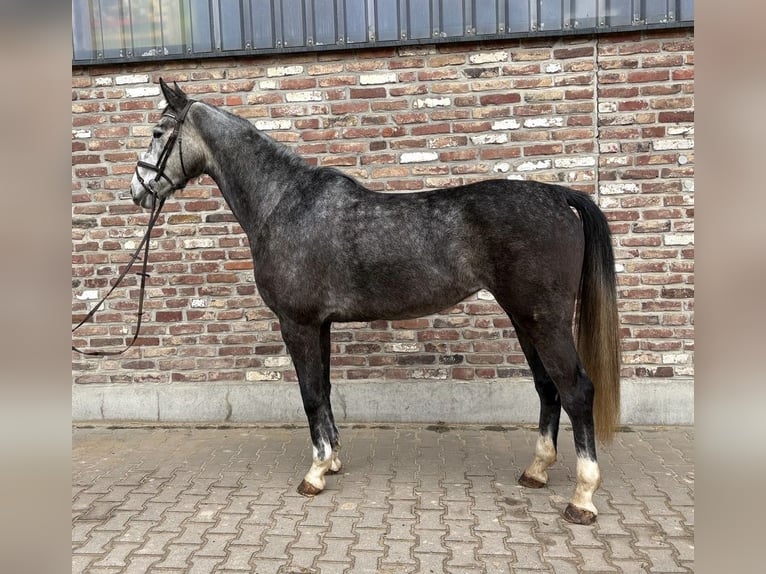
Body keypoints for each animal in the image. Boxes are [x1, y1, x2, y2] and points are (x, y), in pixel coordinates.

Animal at [131, 79, 621, 525]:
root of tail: (561, 196)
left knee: (576, 390)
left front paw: (314, 474)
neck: (283, 203)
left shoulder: (297, 323)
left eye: (157, 131)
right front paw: (331, 460)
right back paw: (536, 471)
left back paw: (582, 498)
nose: (137, 190)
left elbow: (310, 394)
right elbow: (325, 389)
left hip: (544, 320)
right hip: (524, 318)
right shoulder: (321, 325)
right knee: (547, 388)